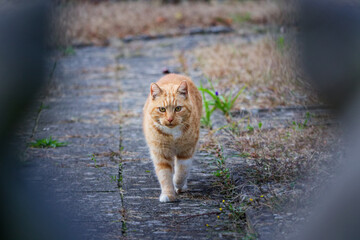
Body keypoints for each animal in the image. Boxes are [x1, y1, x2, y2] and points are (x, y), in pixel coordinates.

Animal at [143, 74, 202, 202]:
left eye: (178, 108)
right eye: (162, 109)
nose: (170, 119)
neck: (172, 134)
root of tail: (173, 74)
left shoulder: (186, 151)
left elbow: (182, 171)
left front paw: (177, 183)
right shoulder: (161, 154)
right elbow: (165, 175)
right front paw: (168, 194)